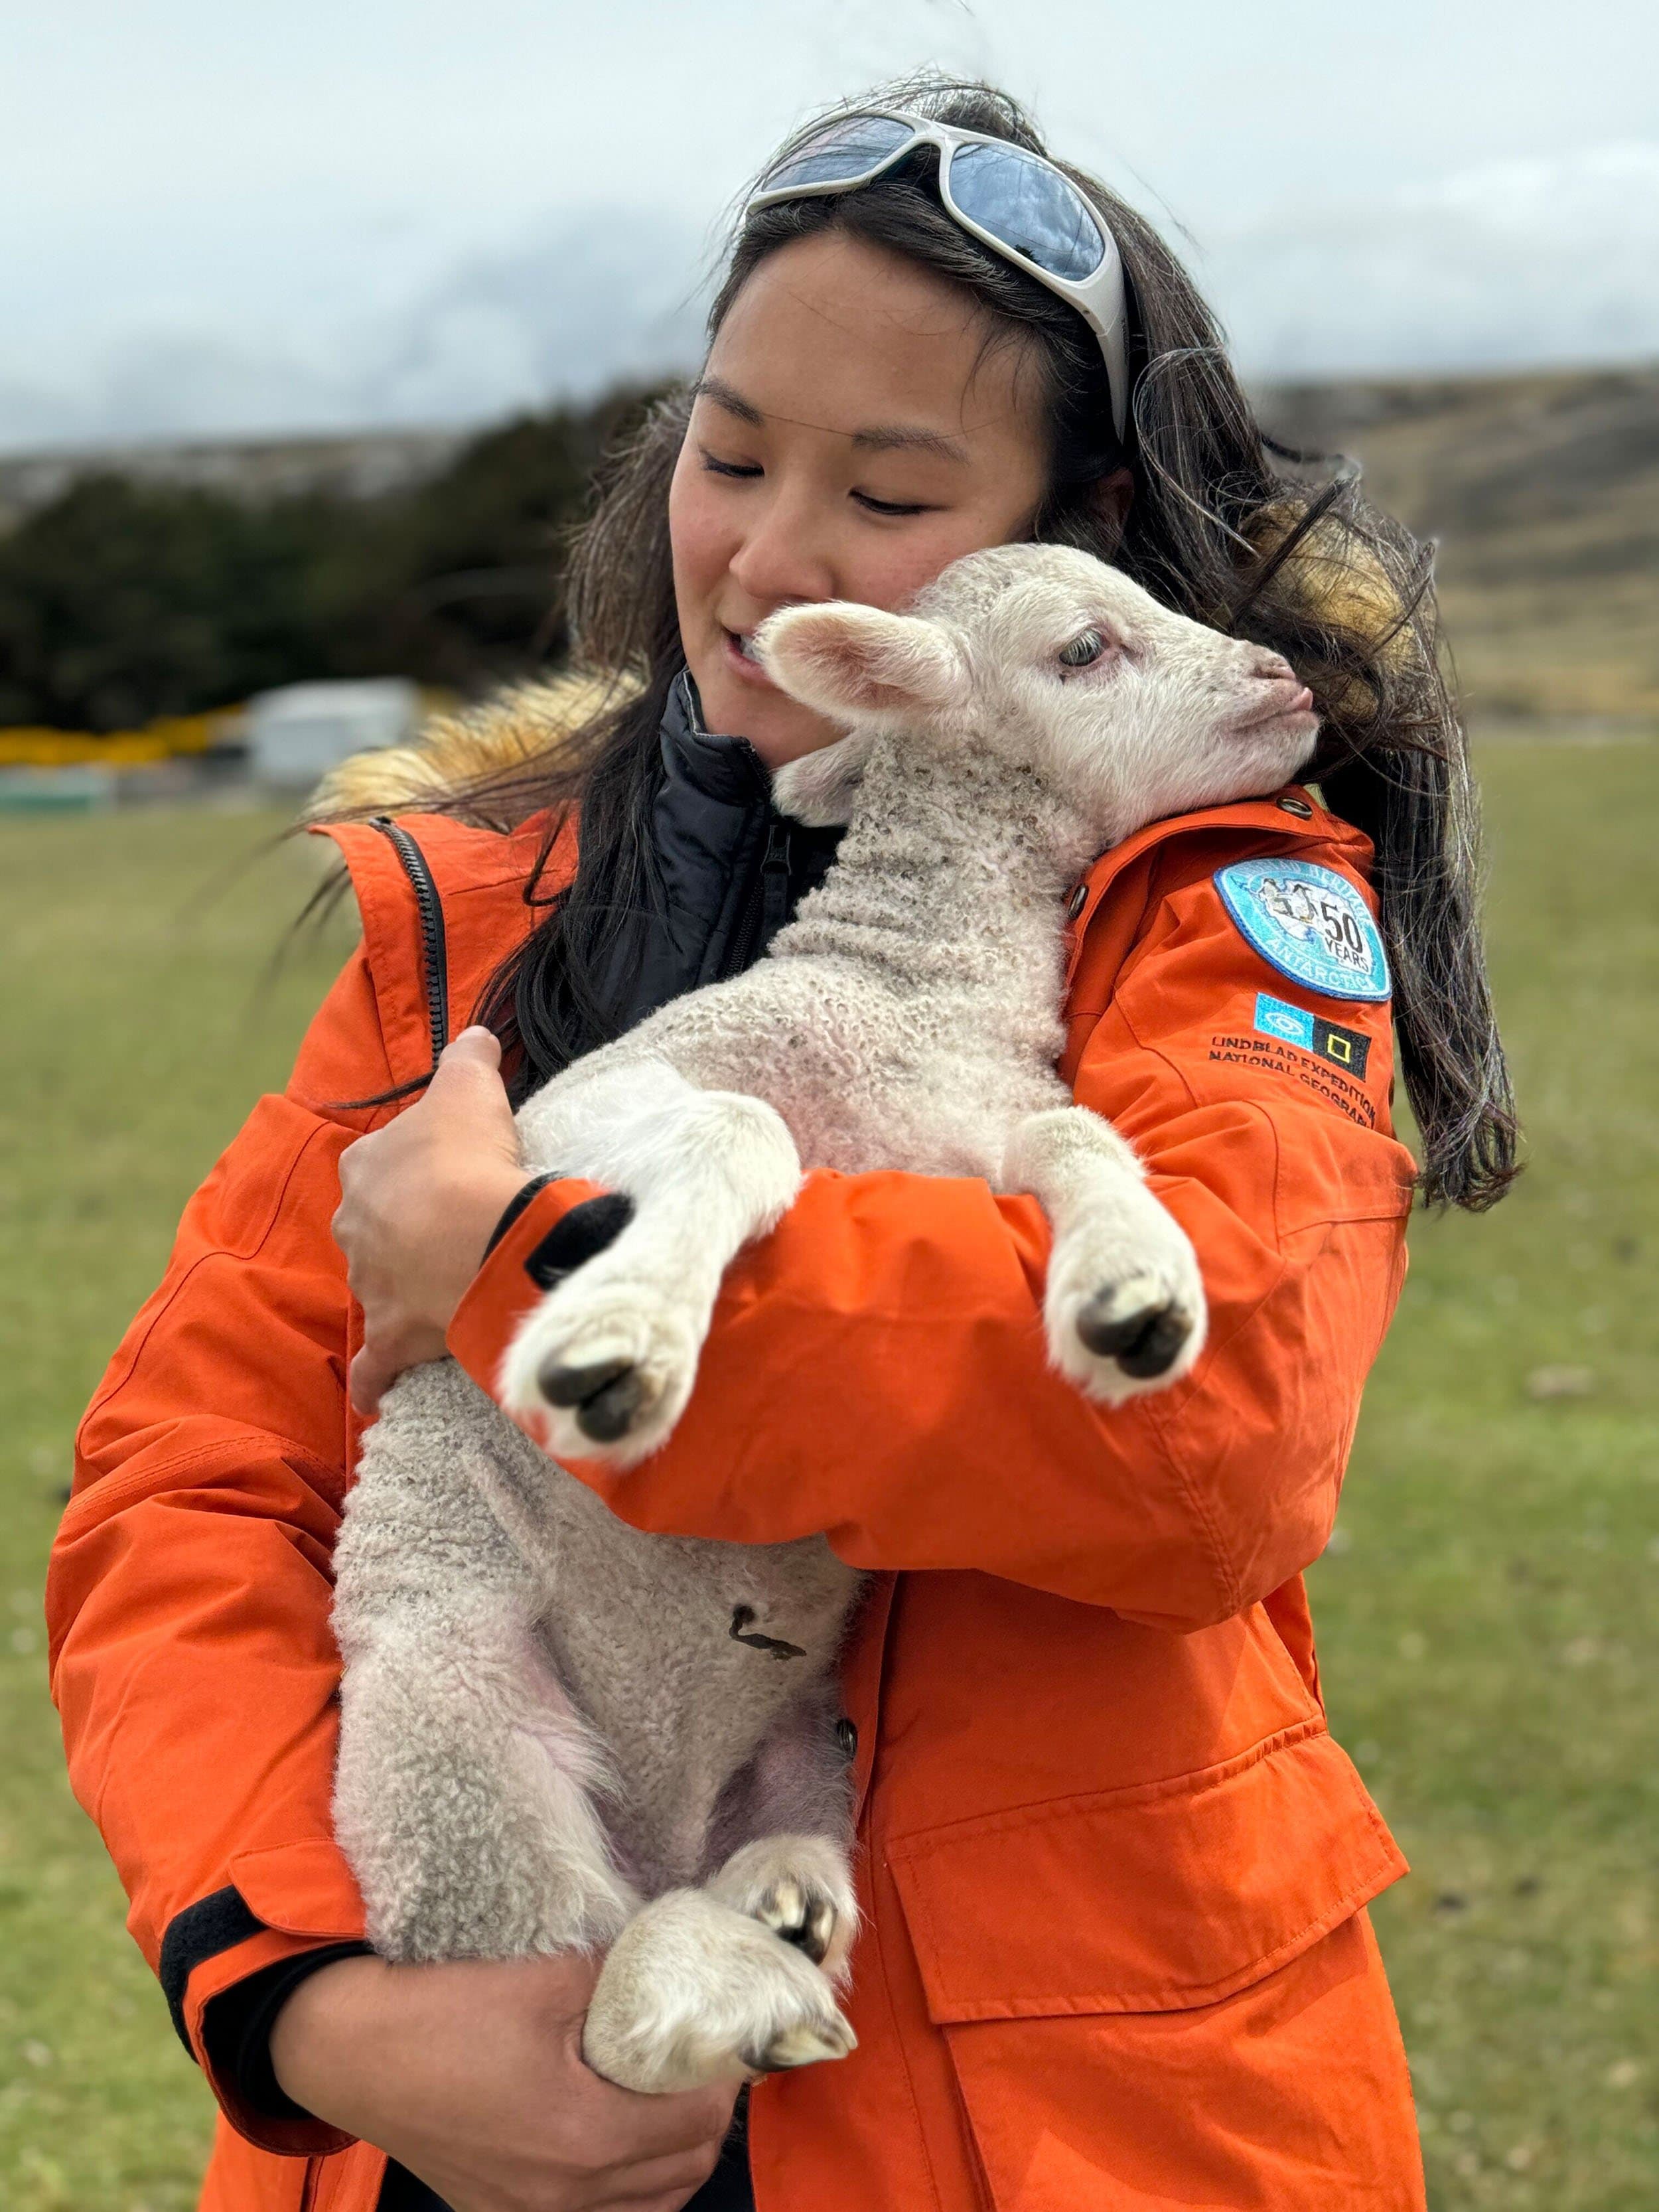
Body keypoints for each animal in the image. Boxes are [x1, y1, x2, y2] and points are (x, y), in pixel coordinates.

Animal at [330, 541, 1321, 2095]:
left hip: (812, 1739)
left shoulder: (990, 1132)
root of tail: (661, 1827)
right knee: (573, 1998)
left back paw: (778, 1902)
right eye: (1083, 649)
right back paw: (720, 1984)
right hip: (450, 1744)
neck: (907, 992)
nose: (1288, 678)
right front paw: (622, 1344)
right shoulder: (580, 1107)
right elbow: (743, 1128)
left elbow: (1084, 1139)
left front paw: (1134, 1290)